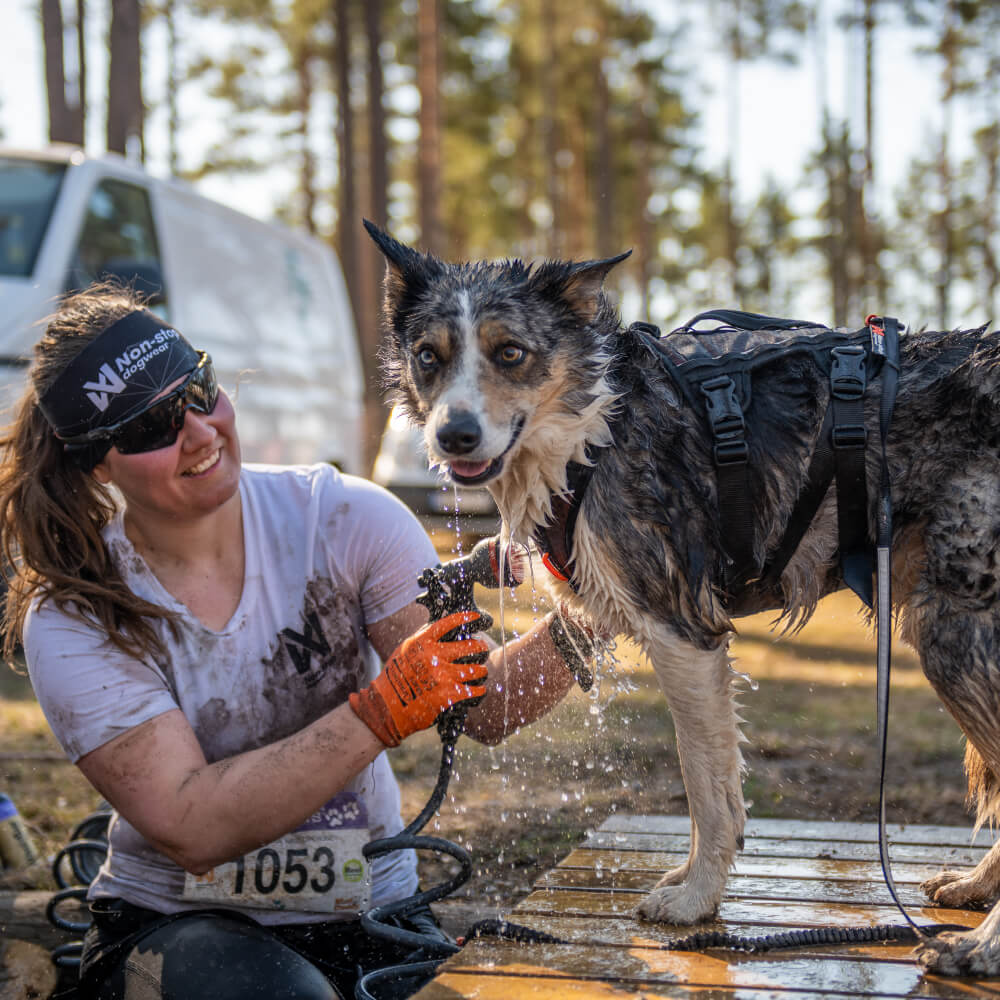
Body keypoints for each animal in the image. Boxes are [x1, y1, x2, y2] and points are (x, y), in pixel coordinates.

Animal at [368, 221, 1000, 976]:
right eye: (428, 357)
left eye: (510, 352)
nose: (453, 435)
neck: (593, 426)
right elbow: (720, 781)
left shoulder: (683, 632)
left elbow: (704, 783)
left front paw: (697, 899)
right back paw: (976, 888)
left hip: (952, 631)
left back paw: (985, 942)